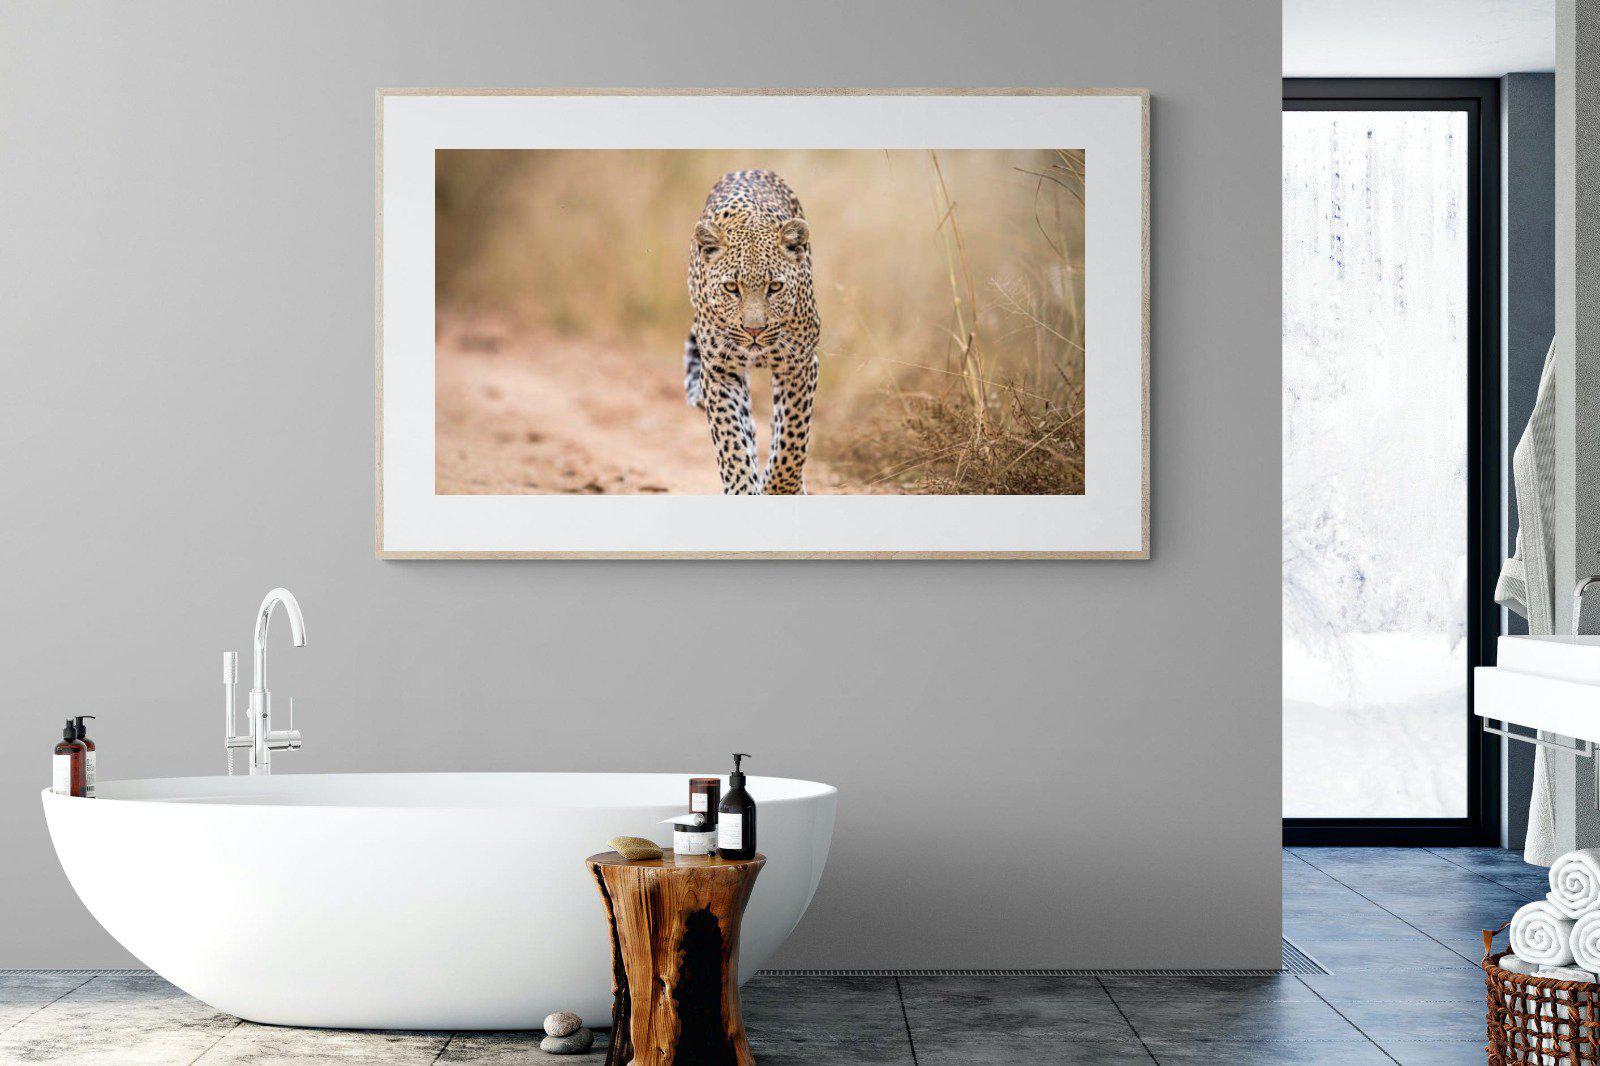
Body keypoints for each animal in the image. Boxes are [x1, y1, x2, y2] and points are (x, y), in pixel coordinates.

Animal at [683, 169, 820, 494]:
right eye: (732, 288)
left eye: (775, 287)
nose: (754, 330)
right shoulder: (720, 371)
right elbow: (731, 439)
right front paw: (744, 488)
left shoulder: (799, 366)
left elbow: (792, 439)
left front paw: (779, 487)